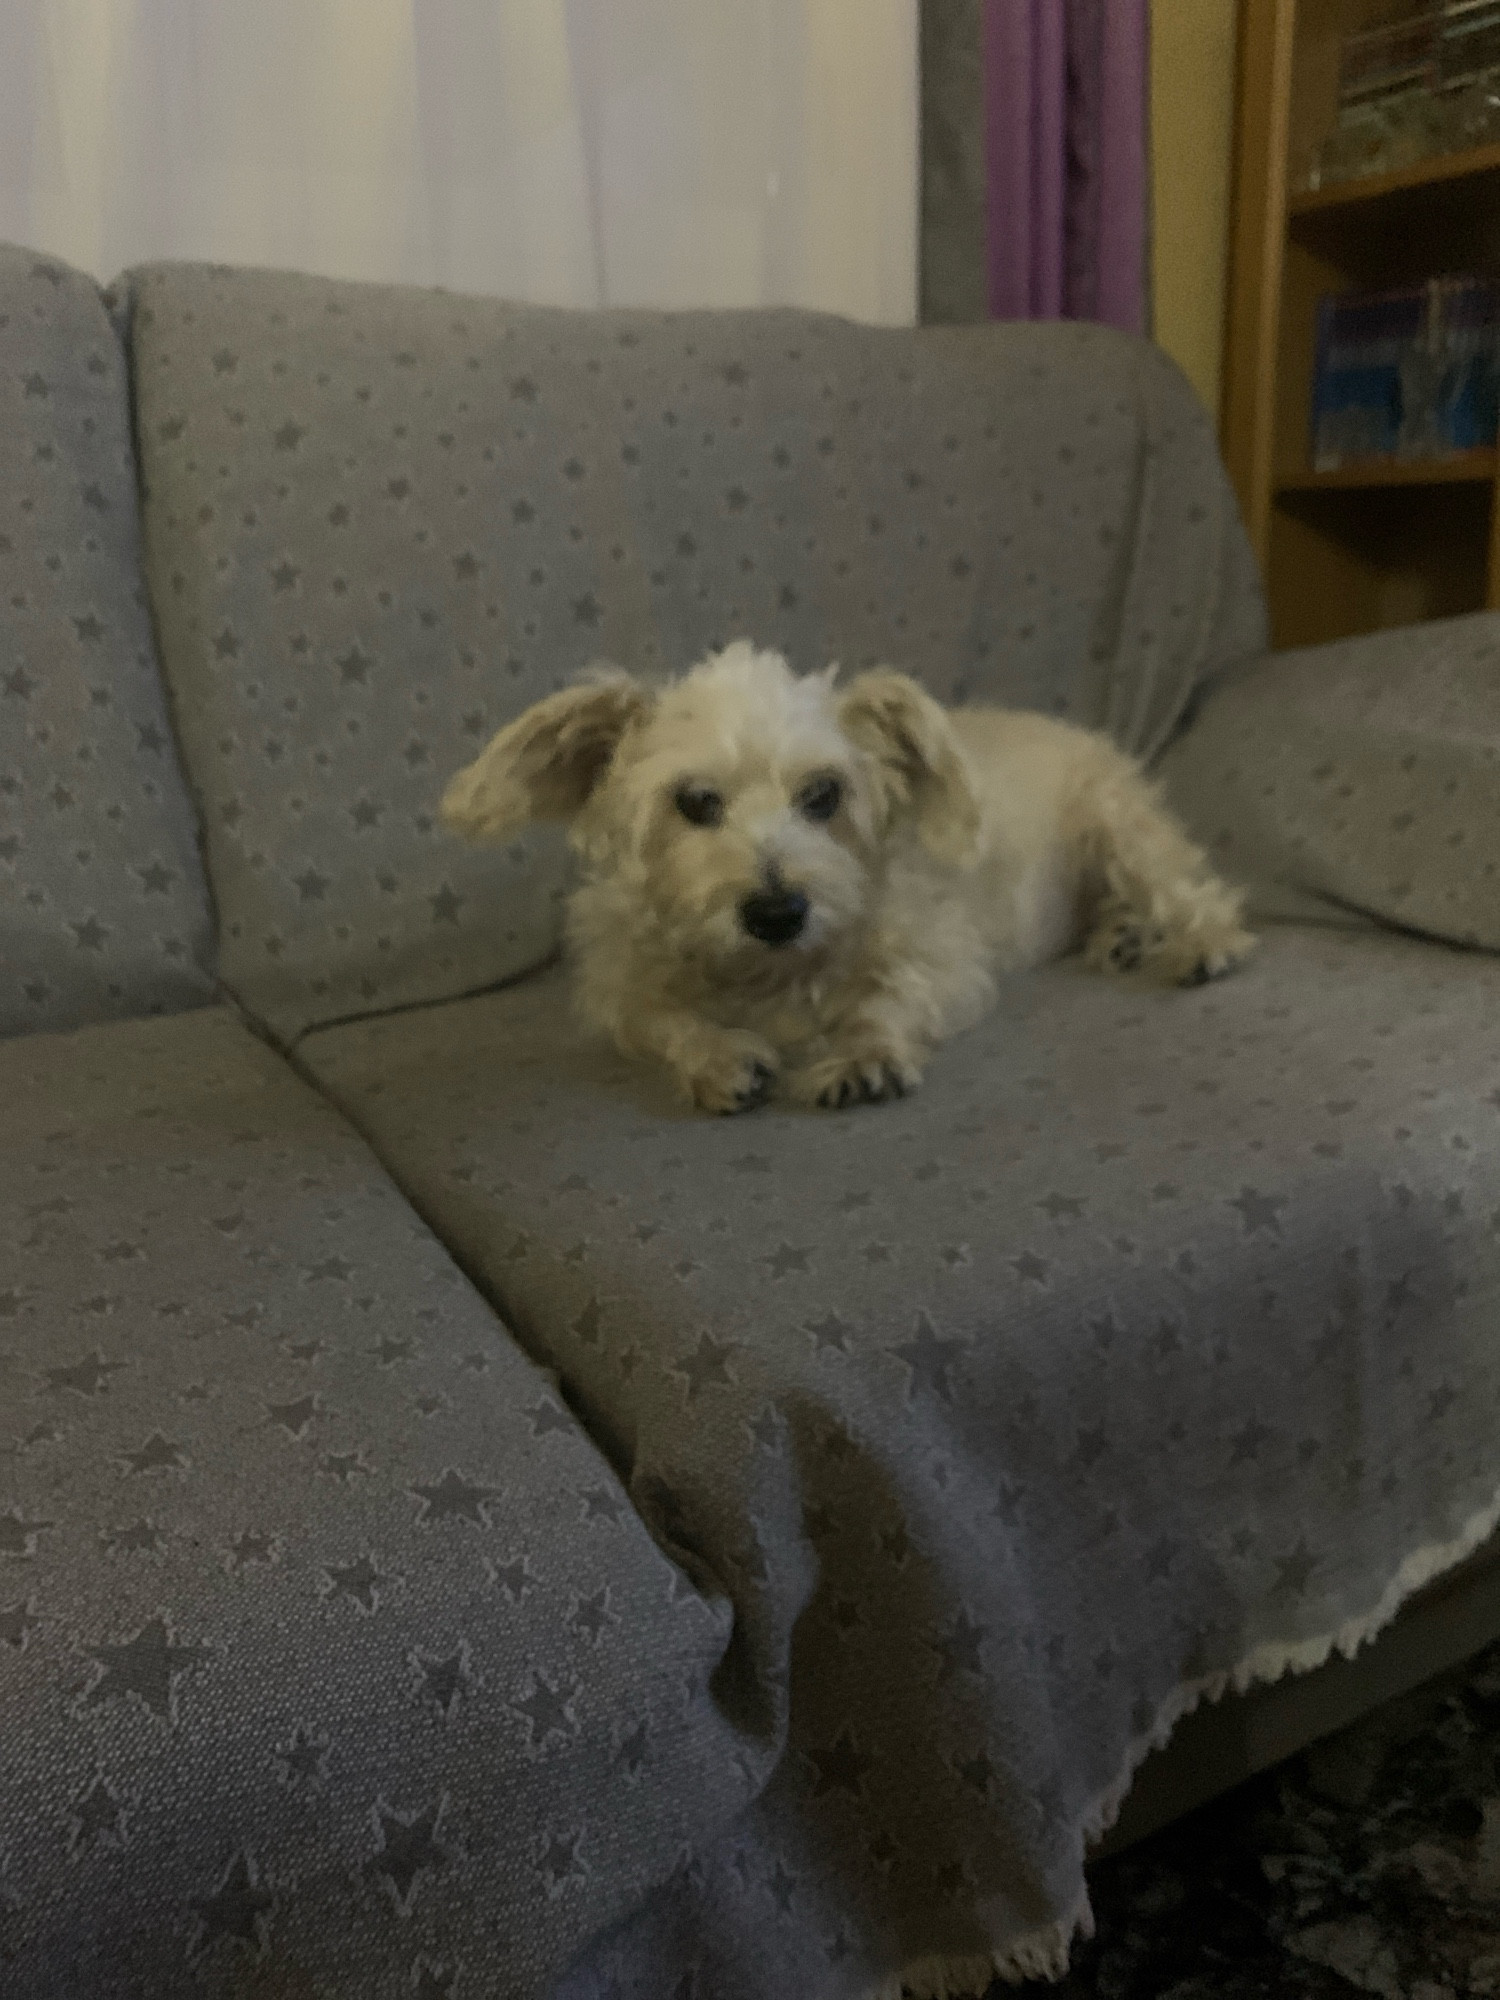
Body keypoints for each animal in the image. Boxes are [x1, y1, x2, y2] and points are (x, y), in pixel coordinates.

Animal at [444, 640, 1256, 1112]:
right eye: (695, 801)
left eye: (824, 794)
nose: (778, 912)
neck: (770, 974)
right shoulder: (620, 988)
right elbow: (662, 1021)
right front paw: (718, 1057)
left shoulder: (946, 959)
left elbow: (886, 999)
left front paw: (864, 1054)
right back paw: (1123, 935)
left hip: (1119, 825)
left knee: (1192, 890)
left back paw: (1201, 944)